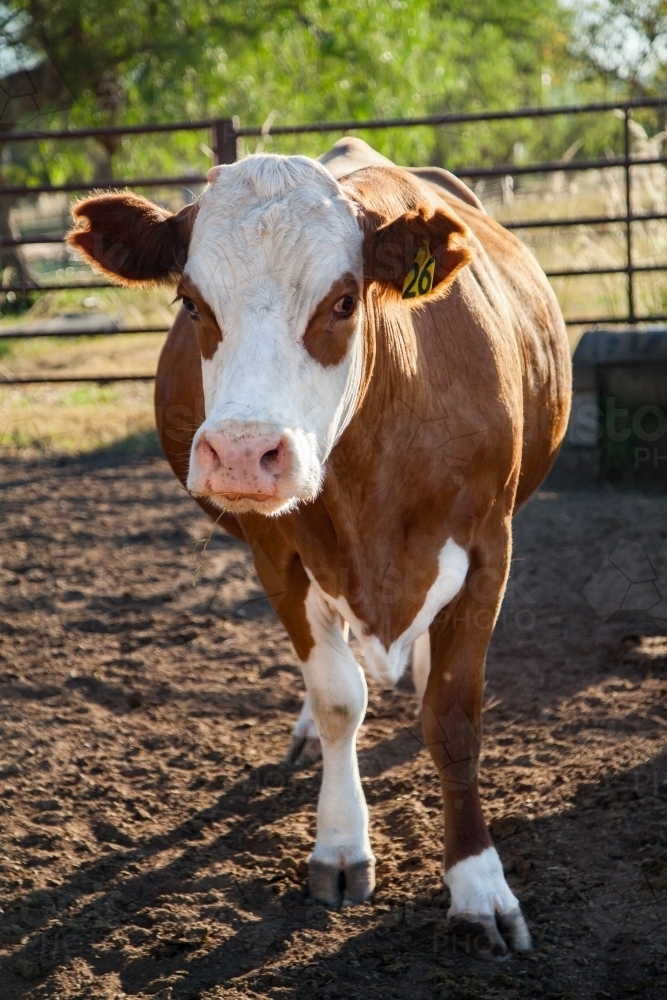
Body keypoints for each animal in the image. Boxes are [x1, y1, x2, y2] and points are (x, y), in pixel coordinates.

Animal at [67, 137, 571, 960]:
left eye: (342, 301)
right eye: (192, 303)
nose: (243, 455)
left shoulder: (488, 547)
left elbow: (452, 717)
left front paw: (478, 888)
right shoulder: (275, 552)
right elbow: (339, 700)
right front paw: (339, 844)